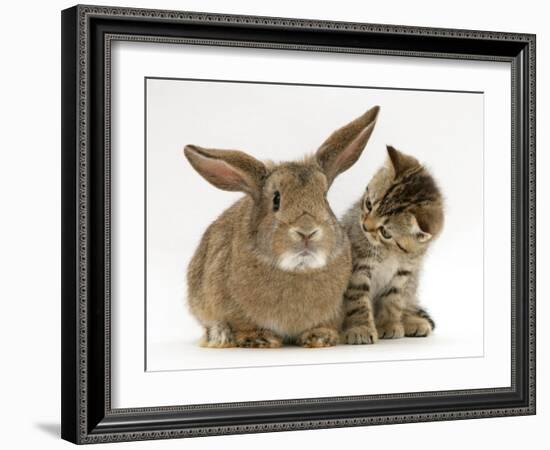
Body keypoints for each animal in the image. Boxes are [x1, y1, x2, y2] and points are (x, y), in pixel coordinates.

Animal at [184, 106, 380, 348]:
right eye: (276, 200)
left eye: (324, 198)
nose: (307, 232)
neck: (298, 269)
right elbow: (242, 325)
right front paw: (260, 338)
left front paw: (320, 337)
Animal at [340, 146, 444, 342]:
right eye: (368, 204)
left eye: (385, 232)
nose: (365, 226)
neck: (390, 252)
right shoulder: (359, 266)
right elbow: (357, 298)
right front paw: (361, 328)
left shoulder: (404, 272)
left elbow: (393, 300)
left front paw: (388, 325)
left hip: (413, 282)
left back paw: (413, 321)